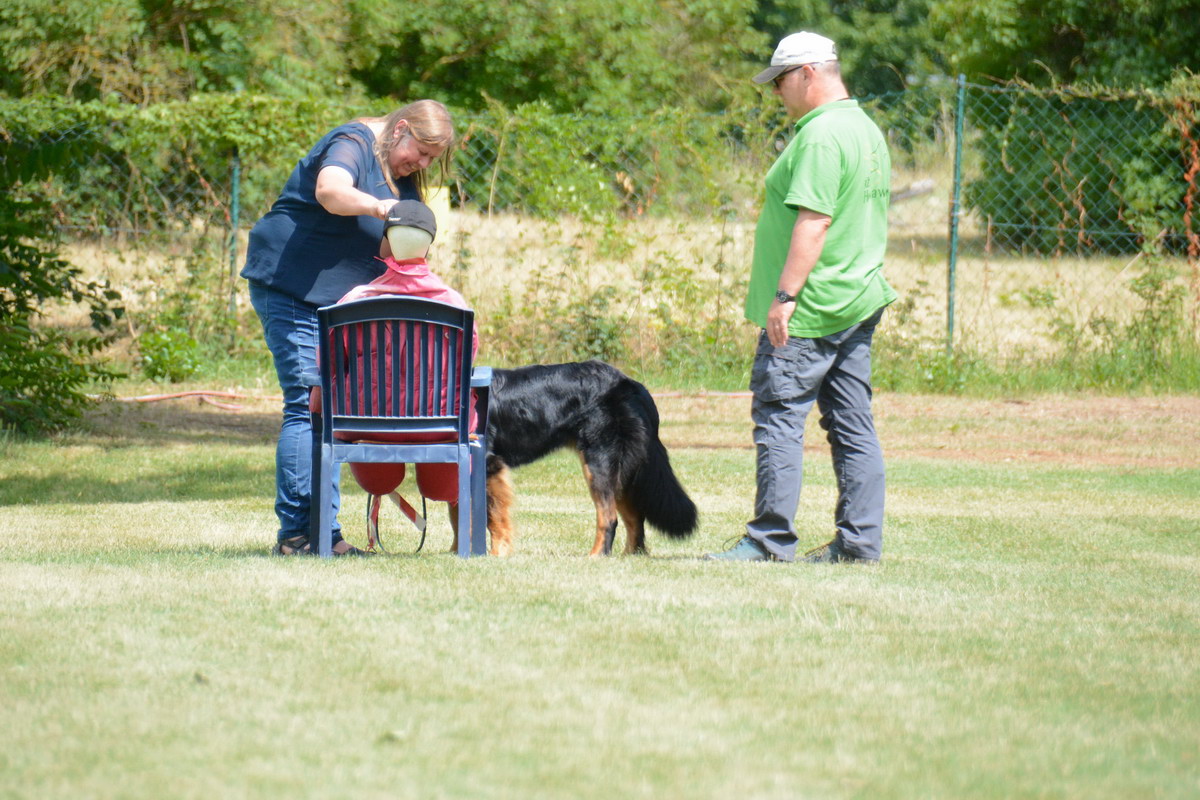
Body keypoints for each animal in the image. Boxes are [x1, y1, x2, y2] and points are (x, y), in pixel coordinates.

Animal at [477, 362, 700, 556]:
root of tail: (633, 385)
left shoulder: (489, 464)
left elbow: (493, 518)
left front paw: (497, 554)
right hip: (623, 470)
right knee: (635, 518)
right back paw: (628, 556)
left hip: (599, 462)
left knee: (609, 517)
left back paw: (596, 556)